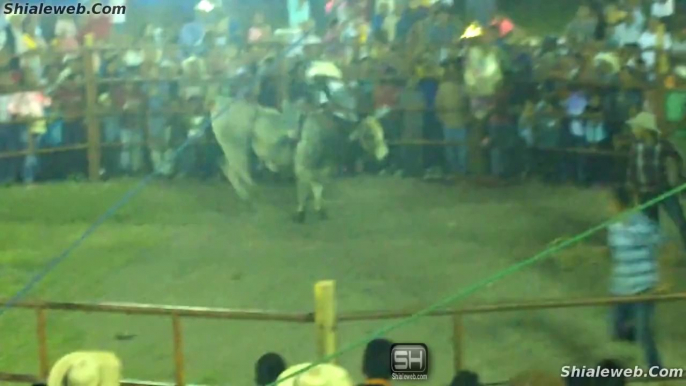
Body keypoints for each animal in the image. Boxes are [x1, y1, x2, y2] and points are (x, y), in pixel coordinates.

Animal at [210, 96, 392, 222]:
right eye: (369, 135)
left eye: (382, 132)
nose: (384, 155)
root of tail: (222, 104)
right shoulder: (302, 166)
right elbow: (307, 186)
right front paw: (300, 213)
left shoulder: (323, 168)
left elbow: (318, 187)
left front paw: (320, 210)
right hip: (237, 149)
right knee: (240, 172)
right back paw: (255, 196)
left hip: (235, 151)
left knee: (227, 167)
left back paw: (248, 198)